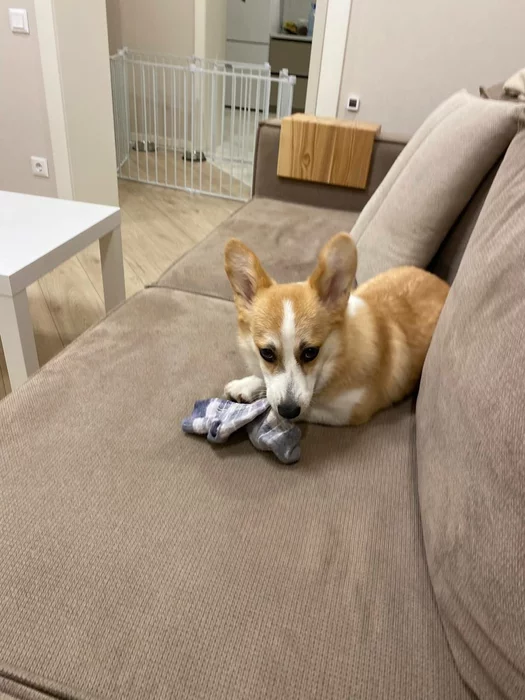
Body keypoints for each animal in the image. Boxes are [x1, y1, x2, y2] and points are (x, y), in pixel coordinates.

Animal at [223, 232, 449, 426]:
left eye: (310, 352)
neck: (338, 355)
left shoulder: (350, 410)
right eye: (267, 353)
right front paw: (247, 384)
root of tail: (442, 283)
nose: (288, 410)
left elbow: (307, 407)